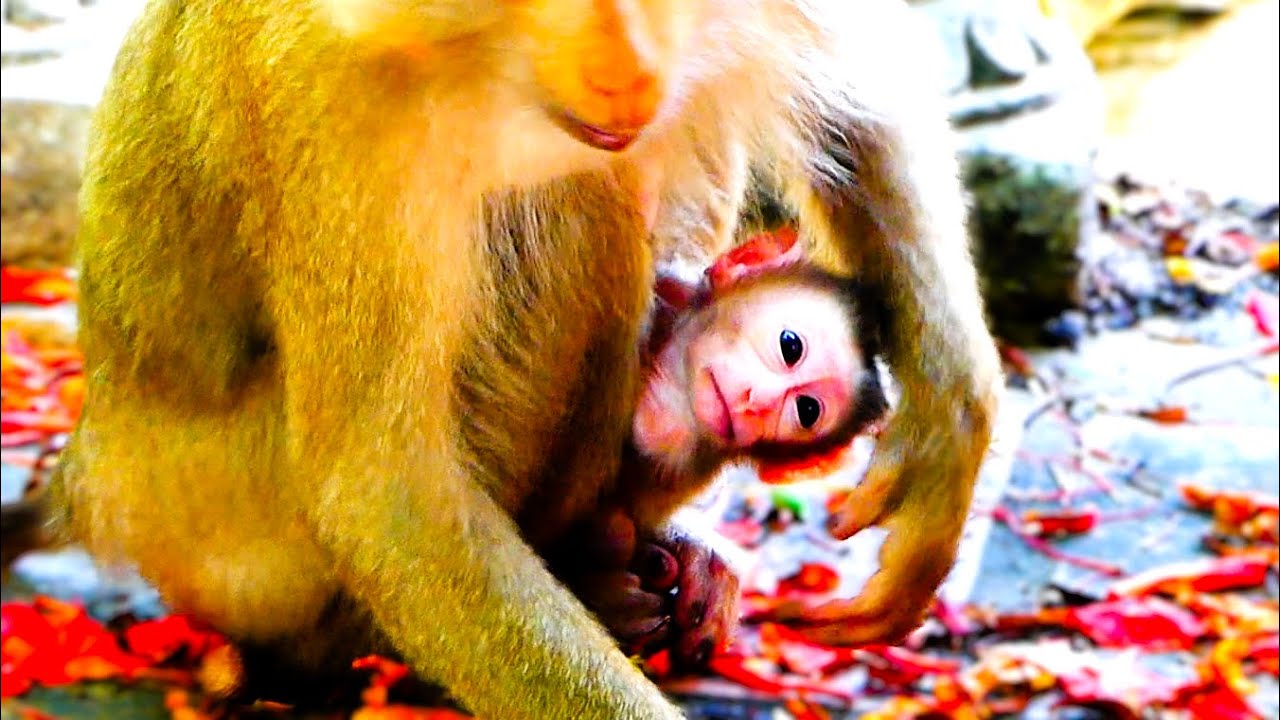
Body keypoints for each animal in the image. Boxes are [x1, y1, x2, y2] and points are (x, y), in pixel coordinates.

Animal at [53, 0, 1002, 717]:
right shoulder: (325, 95)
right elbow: (389, 495)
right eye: (788, 347)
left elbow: (856, 98)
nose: (627, 72)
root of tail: (97, 468)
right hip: (230, 529)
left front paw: (950, 429)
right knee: (584, 198)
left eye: (803, 396)